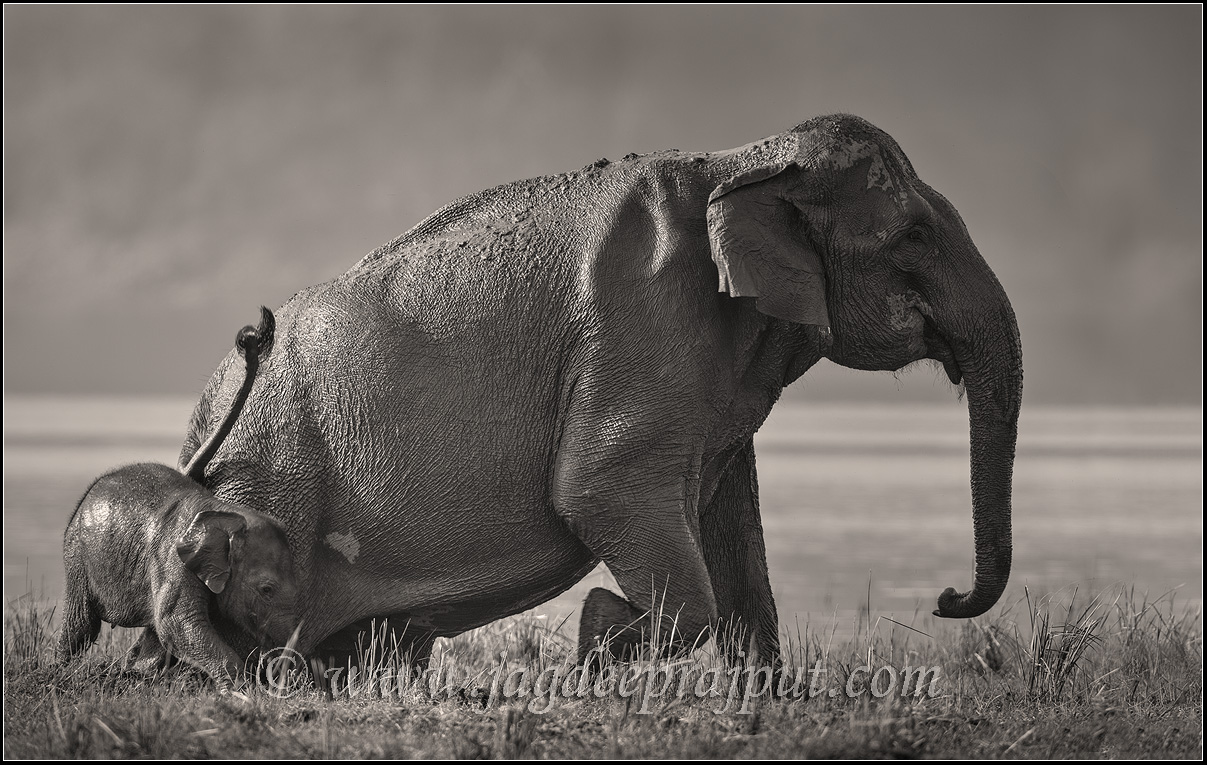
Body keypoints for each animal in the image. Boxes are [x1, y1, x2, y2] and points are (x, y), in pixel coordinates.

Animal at [57, 308, 301, 689]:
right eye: (266, 590)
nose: (255, 334)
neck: (224, 512)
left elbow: (174, 625)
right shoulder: (172, 559)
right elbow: (176, 623)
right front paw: (242, 690)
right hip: (76, 556)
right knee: (80, 622)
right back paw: (59, 672)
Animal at [180, 113, 1021, 671]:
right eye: (914, 237)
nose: (946, 597)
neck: (740, 157)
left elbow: (732, 521)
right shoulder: (645, 322)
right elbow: (597, 488)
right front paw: (601, 628)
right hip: (272, 487)